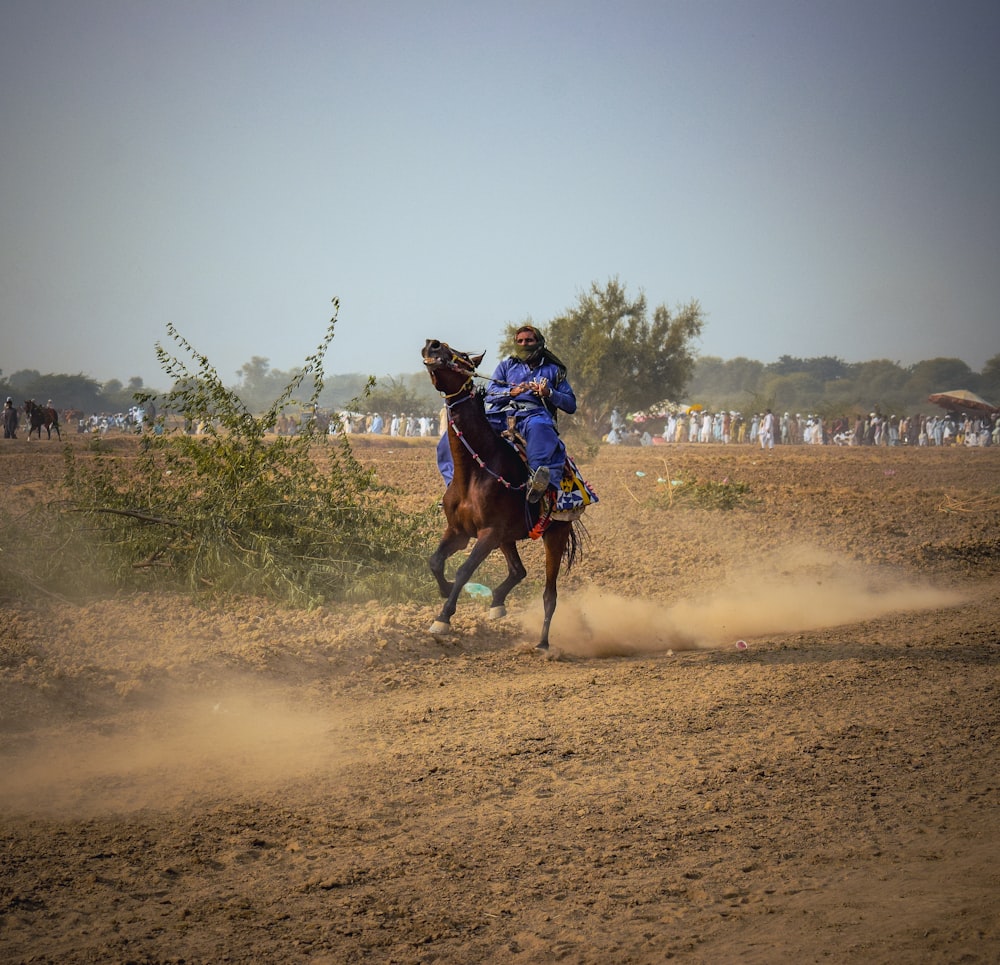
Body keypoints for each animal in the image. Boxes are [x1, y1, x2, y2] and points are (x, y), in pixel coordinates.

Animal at [424, 336, 584, 652]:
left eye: (463, 357)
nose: (432, 344)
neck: (476, 469)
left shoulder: (488, 533)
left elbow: (464, 571)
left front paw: (443, 618)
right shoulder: (459, 531)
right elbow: (436, 562)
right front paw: (446, 591)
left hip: (554, 534)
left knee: (550, 594)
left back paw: (543, 644)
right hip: (507, 538)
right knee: (518, 571)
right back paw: (497, 604)